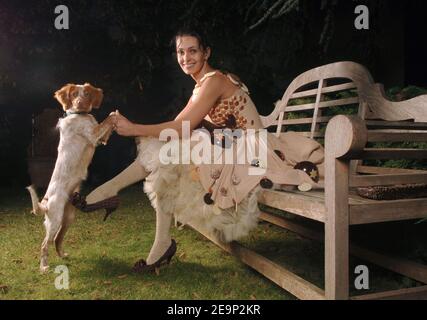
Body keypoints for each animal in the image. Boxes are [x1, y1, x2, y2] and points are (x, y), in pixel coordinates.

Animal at [27, 83, 117, 272]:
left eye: (87, 94)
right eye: (74, 94)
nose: (79, 103)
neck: (80, 115)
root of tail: (45, 202)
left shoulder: (99, 137)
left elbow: (109, 124)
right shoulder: (93, 135)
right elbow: (109, 118)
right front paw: (116, 115)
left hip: (68, 218)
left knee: (57, 239)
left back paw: (62, 256)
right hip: (54, 221)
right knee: (45, 244)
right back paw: (44, 267)